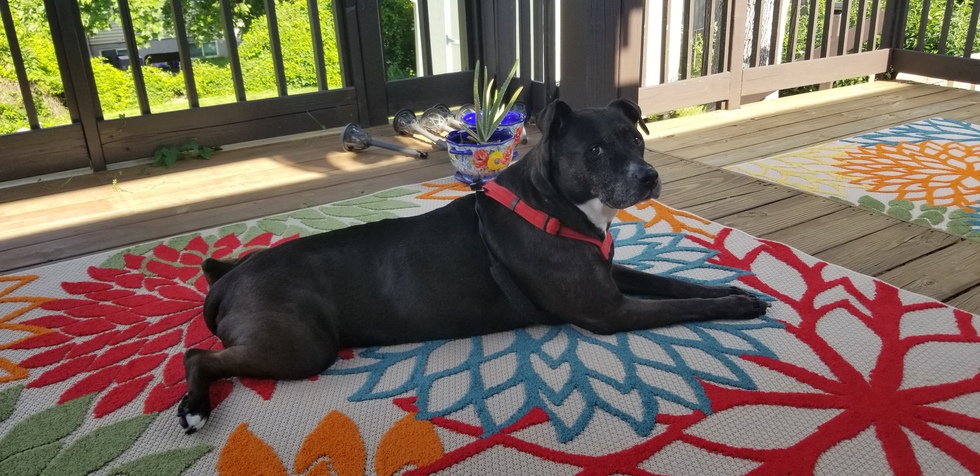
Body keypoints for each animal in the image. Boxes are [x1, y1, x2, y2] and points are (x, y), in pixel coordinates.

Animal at [177, 98, 769, 433]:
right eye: (597, 150)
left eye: (636, 139)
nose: (648, 177)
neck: (556, 204)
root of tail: (228, 279)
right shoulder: (610, 311)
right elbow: (683, 306)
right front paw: (737, 306)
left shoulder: (613, 278)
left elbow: (675, 282)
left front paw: (737, 289)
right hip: (301, 348)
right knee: (197, 355)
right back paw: (195, 408)